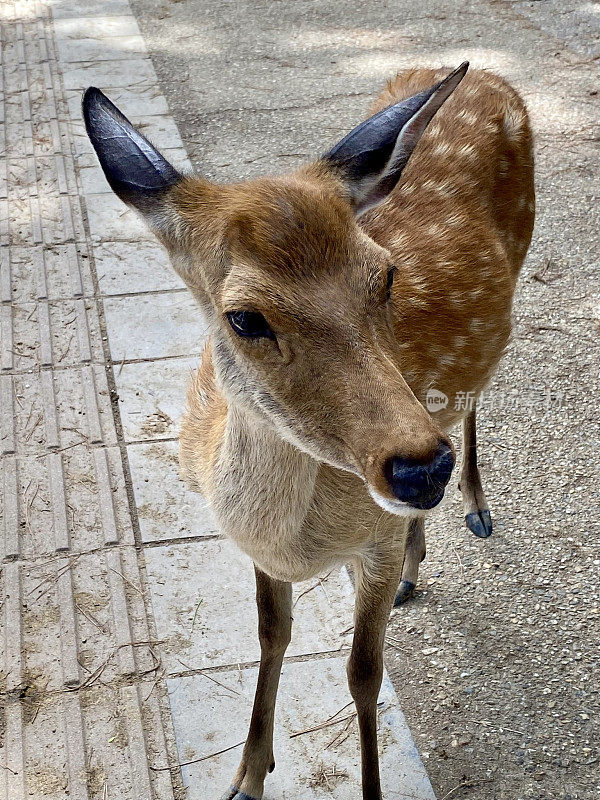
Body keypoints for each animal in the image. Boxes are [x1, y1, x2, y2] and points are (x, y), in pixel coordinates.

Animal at [83, 64, 536, 800]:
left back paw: (474, 506)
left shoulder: (373, 540)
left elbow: (363, 675)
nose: (420, 467)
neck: (299, 539)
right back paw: (421, 557)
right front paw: (246, 776)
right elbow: (272, 635)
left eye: (386, 276)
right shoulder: (267, 554)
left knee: (472, 396)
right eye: (244, 317)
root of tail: (492, 77)